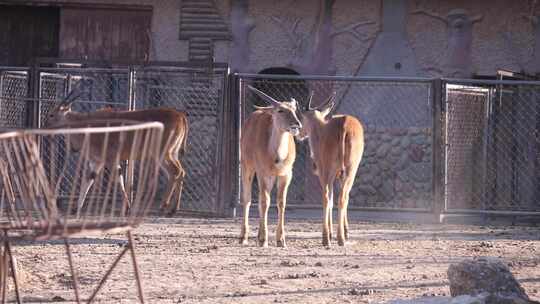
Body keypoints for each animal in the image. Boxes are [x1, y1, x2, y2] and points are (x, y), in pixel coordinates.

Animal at [47, 79, 190, 215]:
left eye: (52, 114)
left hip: (162, 153)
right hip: (171, 153)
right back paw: (173, 209)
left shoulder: (110, 160)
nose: (45, 125)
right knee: (181, 171)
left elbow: (118, 181)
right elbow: (89, 181)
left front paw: (127, 209)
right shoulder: (97, 162)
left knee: (175, 171)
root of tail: (180, 115)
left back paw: (164, 206)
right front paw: (75, 209)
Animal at [242, 85, 304, 247]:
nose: (296, 124)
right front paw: (263, 240)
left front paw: (281, 240)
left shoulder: (286, 175)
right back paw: (244, 237)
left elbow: (281, 202)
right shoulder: (262, 173)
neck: (277, 156)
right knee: (248, 199)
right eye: (280, 110)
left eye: (294, 109)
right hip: (247, 168)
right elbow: (265, 202)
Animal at [296, 91, 368, 246]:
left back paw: (328, 238)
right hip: (348, 170)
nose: (298, 135)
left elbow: (330, 199)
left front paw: (333, 233)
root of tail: (344, 125)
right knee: (340, 198)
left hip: (331, 171)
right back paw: (338, 238)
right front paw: (343, 232)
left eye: (301, 118)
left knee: (329, 197)